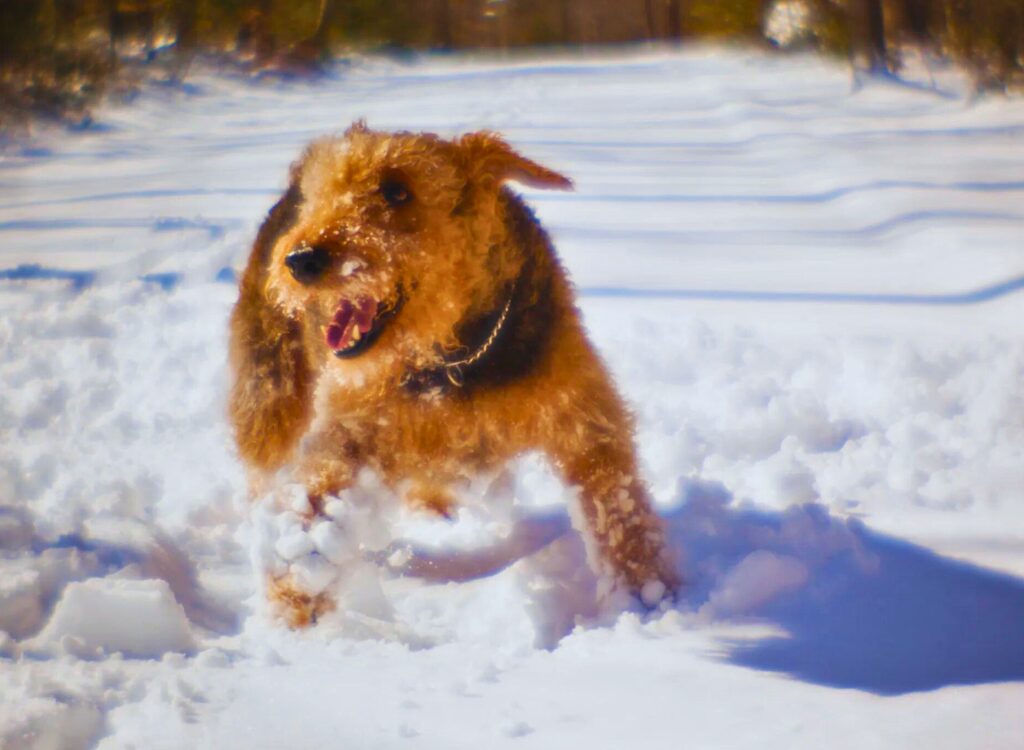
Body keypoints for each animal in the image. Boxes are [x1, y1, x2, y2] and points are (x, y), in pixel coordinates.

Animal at [230, 124, 679, 627]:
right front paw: (297, 587)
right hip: (271, 397)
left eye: (397, 190)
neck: (454, 360)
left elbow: (618, 507)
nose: (301, 261)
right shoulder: (352, 427)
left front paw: (648, 597)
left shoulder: (582, 418)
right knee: (263, 474)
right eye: (323, 193)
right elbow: (318, 495)